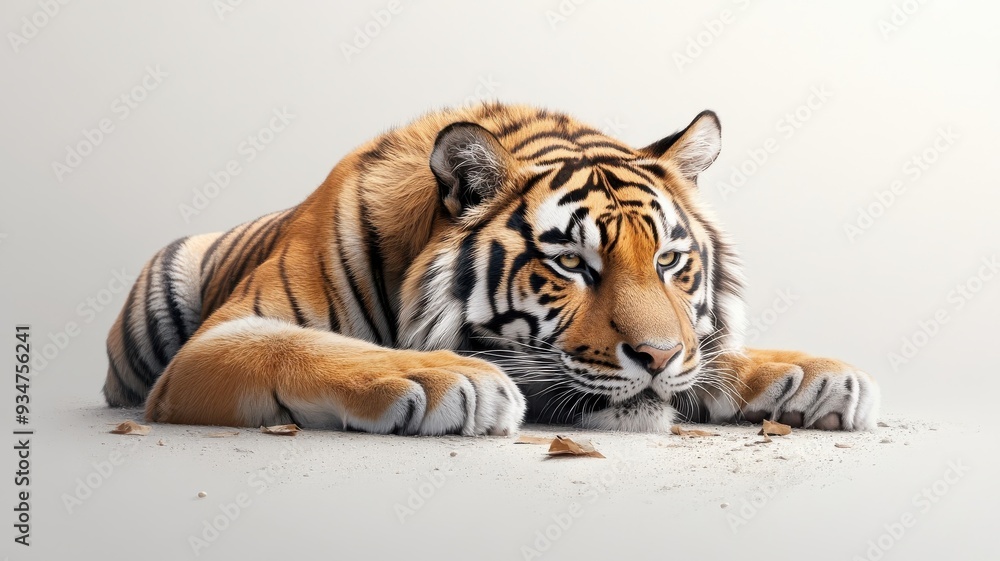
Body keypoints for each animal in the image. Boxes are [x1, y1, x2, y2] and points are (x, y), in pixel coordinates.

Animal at [102, 102, 880, 435]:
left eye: (667, 261)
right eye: (570, 263)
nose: (657, 359)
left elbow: (718, 353)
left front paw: (816, 374)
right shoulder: (223, 339)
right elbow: (306, 348)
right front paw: (449, 378)